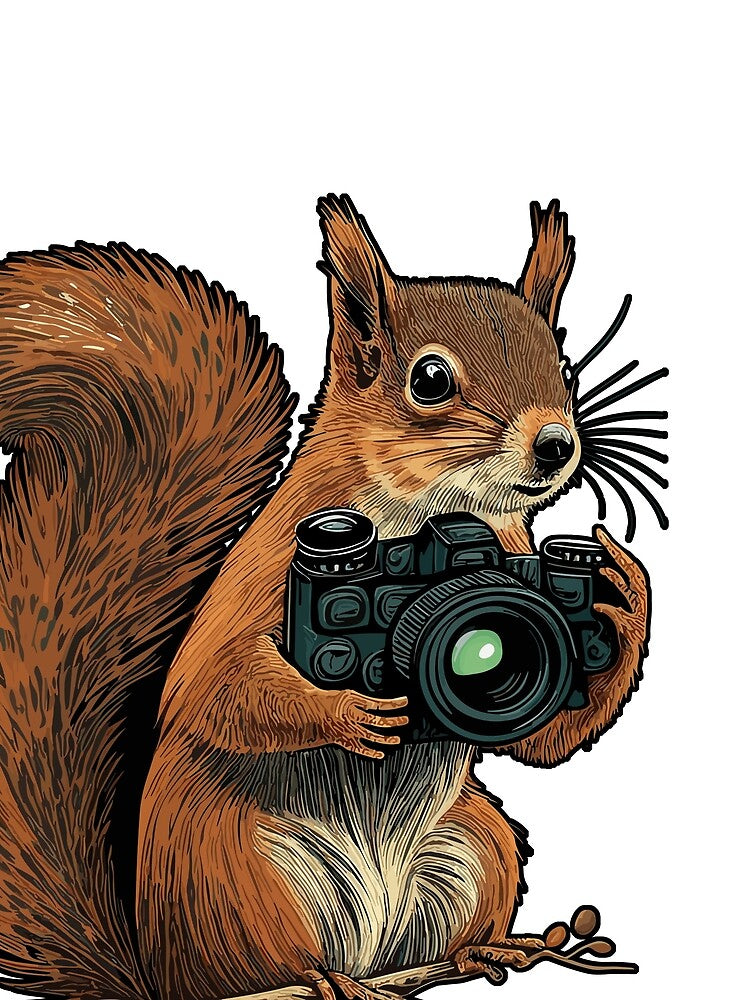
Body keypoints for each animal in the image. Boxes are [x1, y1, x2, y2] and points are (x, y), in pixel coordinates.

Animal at [0, 196, 651, 1000]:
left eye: (560, 361)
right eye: (430, 379)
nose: (556, 444)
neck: (435, 519)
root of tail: (155, 972)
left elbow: (541, 740)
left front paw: (626, 592)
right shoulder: (265, 577)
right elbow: (214, 684)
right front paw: (348, 712)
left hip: (476, 847)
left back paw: (487, 951)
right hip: (236, 875)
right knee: (265, 963)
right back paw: (323, 980)